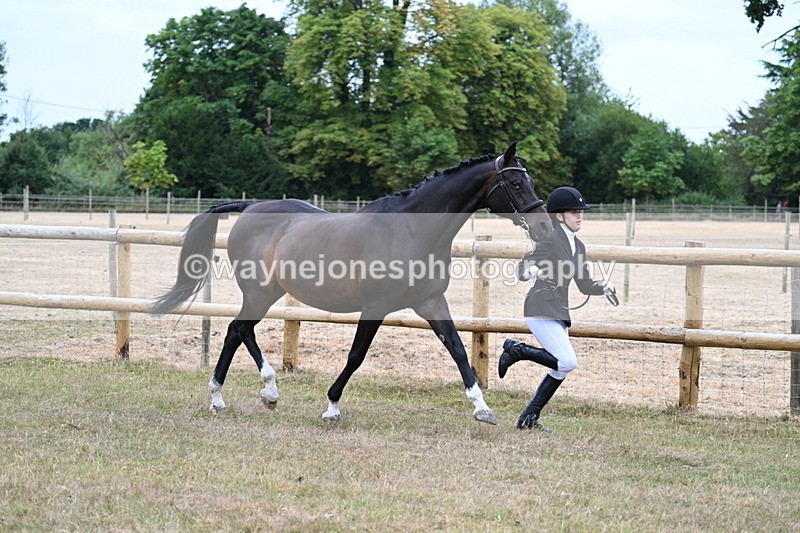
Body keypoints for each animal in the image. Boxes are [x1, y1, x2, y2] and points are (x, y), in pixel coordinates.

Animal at [151, 142, 552, 424]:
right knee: (239, 329)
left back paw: (238, 396)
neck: (411, 230)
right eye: (516, 181)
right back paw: (252, 393)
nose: (545, 227)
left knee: (237, 331)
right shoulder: (375, 307)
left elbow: (457, 349)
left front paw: (482, 408)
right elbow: (356, 355)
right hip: (259, 292)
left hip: (269, 292)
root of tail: (250, 208)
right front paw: (331, 406)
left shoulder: (431, 302)